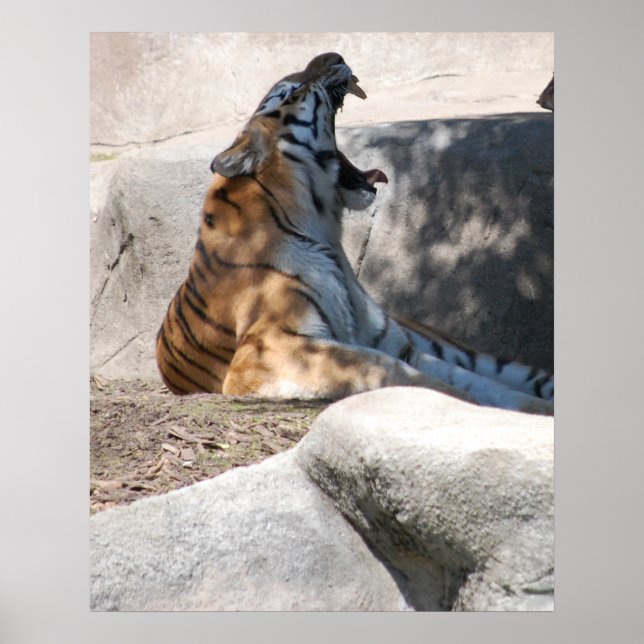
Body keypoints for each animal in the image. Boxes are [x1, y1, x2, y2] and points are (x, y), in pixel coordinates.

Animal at [156, 52, 554, 415]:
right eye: (292, 91)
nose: (335, 56)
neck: (322, 229)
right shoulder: (269, 349)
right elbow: (392, 371)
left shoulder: (396, 343)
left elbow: (471, 380)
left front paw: (529, 410)